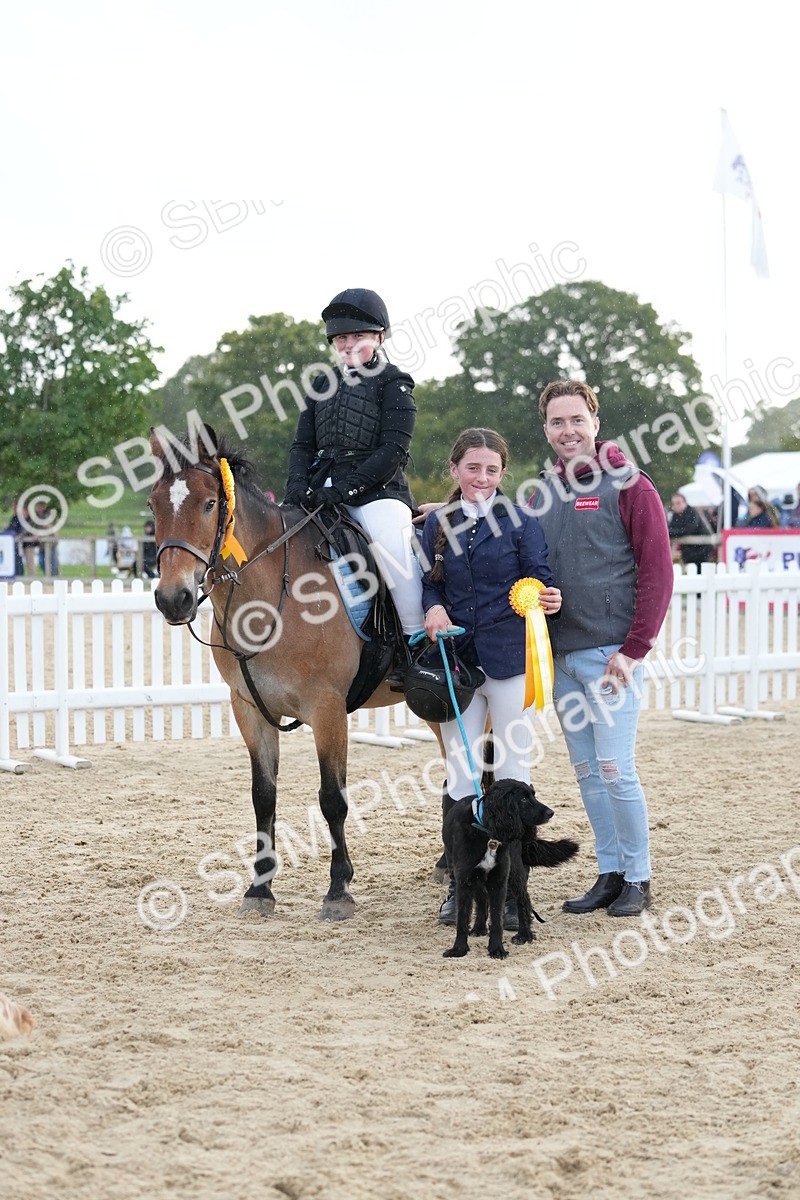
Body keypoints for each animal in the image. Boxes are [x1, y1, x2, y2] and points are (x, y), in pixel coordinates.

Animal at [147, 428, 443, 920]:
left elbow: (332, 798)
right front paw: (259, 889)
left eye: (209, 503)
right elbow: (263, 795)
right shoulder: (249, 709)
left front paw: (339, 889)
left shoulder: (327, 709)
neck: (272, 595)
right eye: (153, 506)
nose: (174, 599)